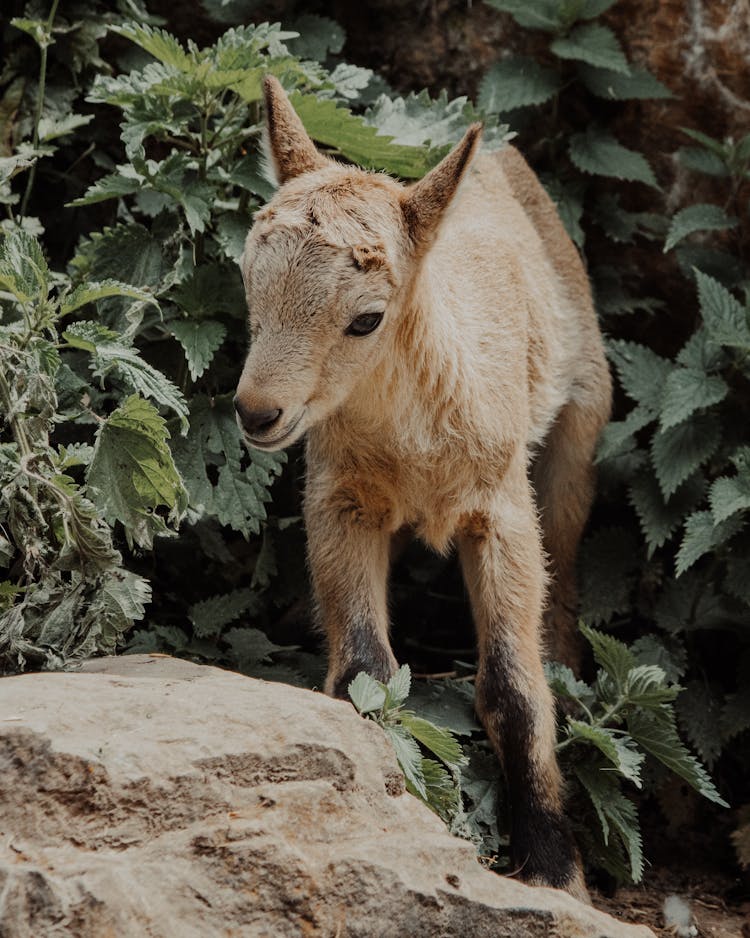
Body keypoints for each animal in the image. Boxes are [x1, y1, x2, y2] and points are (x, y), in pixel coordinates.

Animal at [235, 77, 612, 896]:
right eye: (249, 283)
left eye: (366, 318)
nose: (257, 412)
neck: (416, 446)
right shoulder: (339, 504)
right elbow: (364, 674)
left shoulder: (502, 512)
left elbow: (513, 688)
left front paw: (555, 868)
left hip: (580, 423)